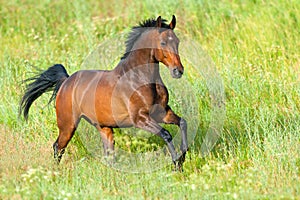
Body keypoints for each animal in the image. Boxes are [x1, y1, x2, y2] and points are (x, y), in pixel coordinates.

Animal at [19, 14, 188, 170]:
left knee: (108, 154)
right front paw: (177, 164)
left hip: (104, 128)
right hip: (67, 125)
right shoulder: (140, 118)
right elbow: (166, 134)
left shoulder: (161, 113)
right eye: (163, 42)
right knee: (58, 147)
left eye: (177, 41)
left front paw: (184, 154)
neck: (139, 79)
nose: (178, 71)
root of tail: (66, 81)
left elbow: (182, 122)